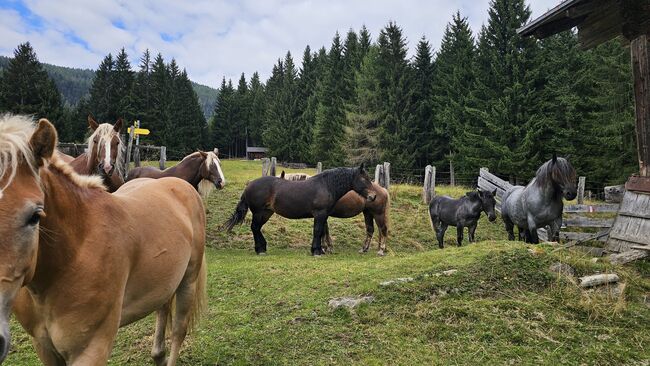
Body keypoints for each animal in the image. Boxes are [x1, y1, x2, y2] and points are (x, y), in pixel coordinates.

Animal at [223, 164, 372, 256]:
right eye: (364, 179)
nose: (373, 196)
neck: (326, 185)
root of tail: (249, 186)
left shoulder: (324, 216)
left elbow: (321, 232)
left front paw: (320, 250)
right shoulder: (320, 214)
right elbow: (318, 231)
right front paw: (316, 251)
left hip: (266, 213)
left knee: (257, 228)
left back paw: (262, 248)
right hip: (259, 212)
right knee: (254, 228)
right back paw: (260, 250)